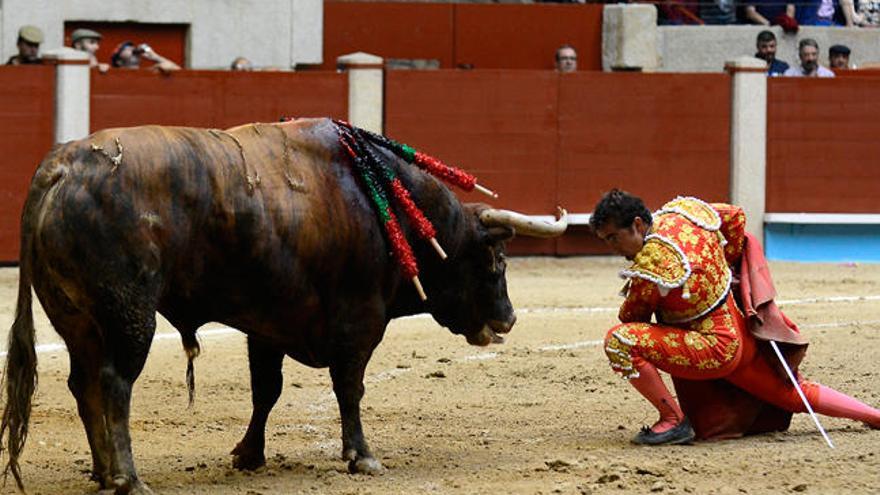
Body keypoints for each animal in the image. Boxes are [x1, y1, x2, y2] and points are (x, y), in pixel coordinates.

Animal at [0, 118, 568, 494]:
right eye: (496, 259)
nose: (509, 318)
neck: (388, 206)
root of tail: (59, 170)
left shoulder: (267, 325)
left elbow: (265, 391)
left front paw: (249, 455)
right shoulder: (360, 321)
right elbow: (349, 388)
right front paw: (362, 457)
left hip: (78, 320)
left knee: (84, 385)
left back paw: (101, 472)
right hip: (130, 315)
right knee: (115, 383)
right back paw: (128, 479)